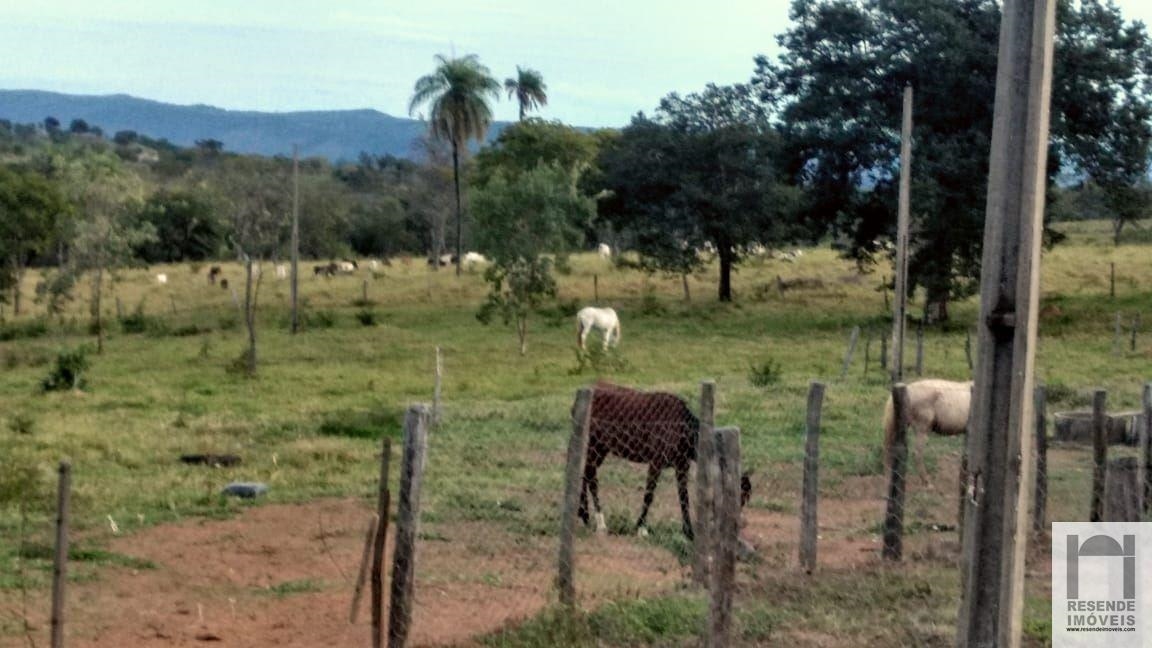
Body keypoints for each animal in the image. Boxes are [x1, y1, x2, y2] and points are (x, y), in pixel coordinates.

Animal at [576, 380, 755, 537]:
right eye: (739, 495)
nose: (738, 525)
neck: (683, 430)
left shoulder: (682, 466)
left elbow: (684, 497)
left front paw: (689, 532)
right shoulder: (656, 463)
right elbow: (649, 494)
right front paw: (641, 528)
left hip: (602, 449)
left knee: (586, 474)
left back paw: (583, 516)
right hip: (594, 446)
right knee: (591, 477)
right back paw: (600, 524)